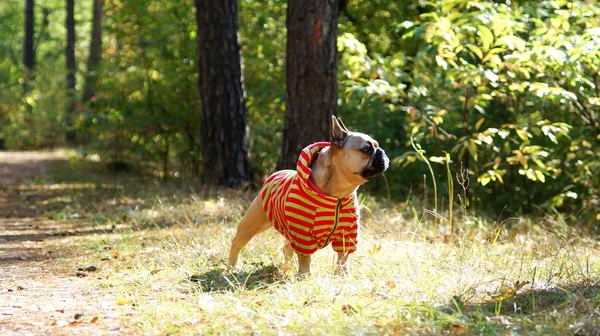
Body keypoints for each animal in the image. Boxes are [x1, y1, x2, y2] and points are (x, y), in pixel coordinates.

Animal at [229, 117, 390, 274]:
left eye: (377, 147)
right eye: (367, 149)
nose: (382, 151)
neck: (338, 195)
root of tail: (276, 173)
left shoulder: (347, 234)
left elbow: (343, 257)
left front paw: (343, 275)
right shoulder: (303, 235)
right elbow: (305, 257)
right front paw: (305, 275)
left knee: (287, 247)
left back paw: (287, 268)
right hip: (252, 224)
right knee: (237, 242)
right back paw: (232, 266)